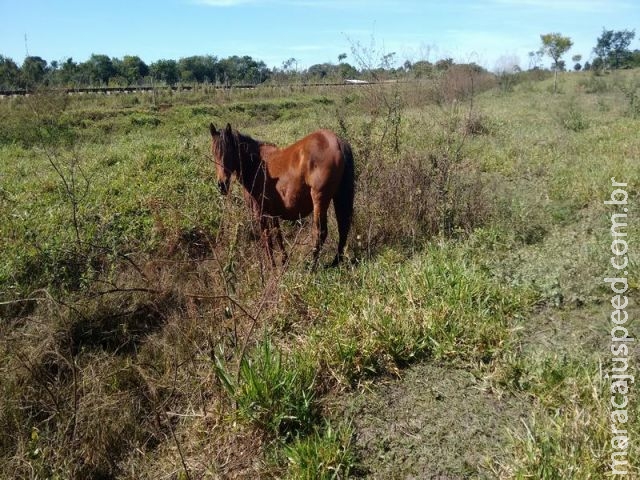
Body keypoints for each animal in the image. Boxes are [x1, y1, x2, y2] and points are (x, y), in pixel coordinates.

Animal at [210, 123, 352, 266]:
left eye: (229, 151)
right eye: (214, 153)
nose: (221, 185)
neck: (256, 164)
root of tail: (337, 141)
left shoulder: (261, 213)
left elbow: (267, 238)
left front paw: (271, 265)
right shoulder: (273, 212)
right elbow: (277, 234)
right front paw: (284, 261)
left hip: (320, 200)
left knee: (320, 232)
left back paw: (312, 265)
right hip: (338, 197)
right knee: (343, 228)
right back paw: (336, 261)